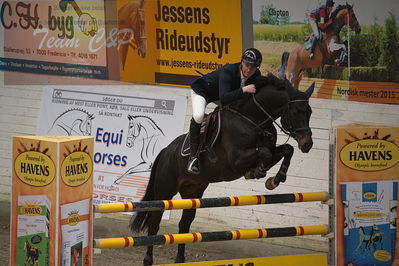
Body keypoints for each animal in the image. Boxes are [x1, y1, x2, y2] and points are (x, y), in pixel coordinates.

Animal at [130, 74, 318, 264]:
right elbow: (264, 152)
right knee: (154, 222)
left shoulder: (270, 149)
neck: (252, 120)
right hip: (165, 191)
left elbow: (286, 149)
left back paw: (180, 259)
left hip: (193, 192)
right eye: (295, 112)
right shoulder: (235, 161)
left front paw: (273, 179)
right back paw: (148, 259)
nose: (307, 144)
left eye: (310, 112)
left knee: (184, 224)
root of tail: (165, 151)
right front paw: (260, 172)